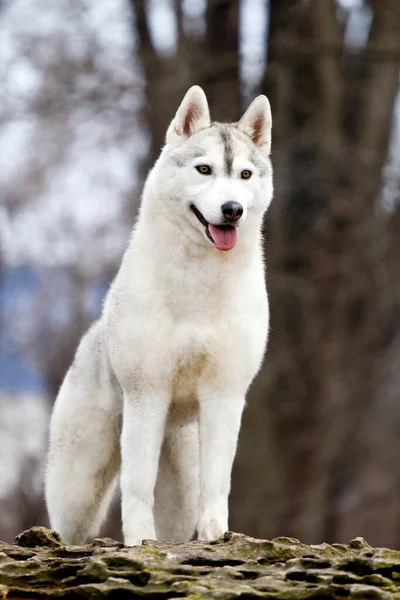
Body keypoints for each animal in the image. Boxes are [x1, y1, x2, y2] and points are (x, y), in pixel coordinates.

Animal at [45, 86, 274, 548]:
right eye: (204, 169)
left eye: (244, 175)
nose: (232, 209)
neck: (198, 285)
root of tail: (92, 334)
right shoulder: (146, 394)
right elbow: (137, 484)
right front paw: (139, 542)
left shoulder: (224, 395)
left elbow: (217, 481)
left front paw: (216, 534)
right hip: (77, 489)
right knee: (72, 526)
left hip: (180, 482)